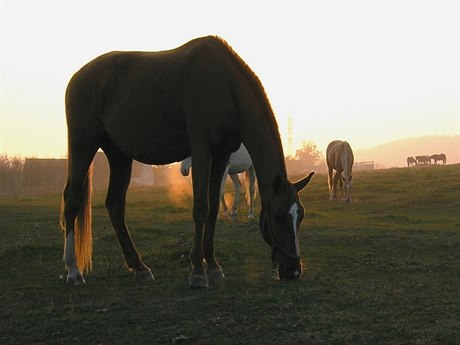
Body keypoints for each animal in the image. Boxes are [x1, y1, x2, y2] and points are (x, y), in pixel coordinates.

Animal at [60, 35, 316, 288]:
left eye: (301, 215)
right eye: (278, 215)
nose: (293, 271)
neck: (225, 88)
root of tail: (76, 78)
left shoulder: (221, 155)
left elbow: (213, 207)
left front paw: (213, 266)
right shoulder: (202, 150)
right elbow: (201, 208)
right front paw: (198, 271)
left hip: (118, 154)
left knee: (115, 204)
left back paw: (139, 267)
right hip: (83, 145)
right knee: (72, 200)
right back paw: (74, 270)